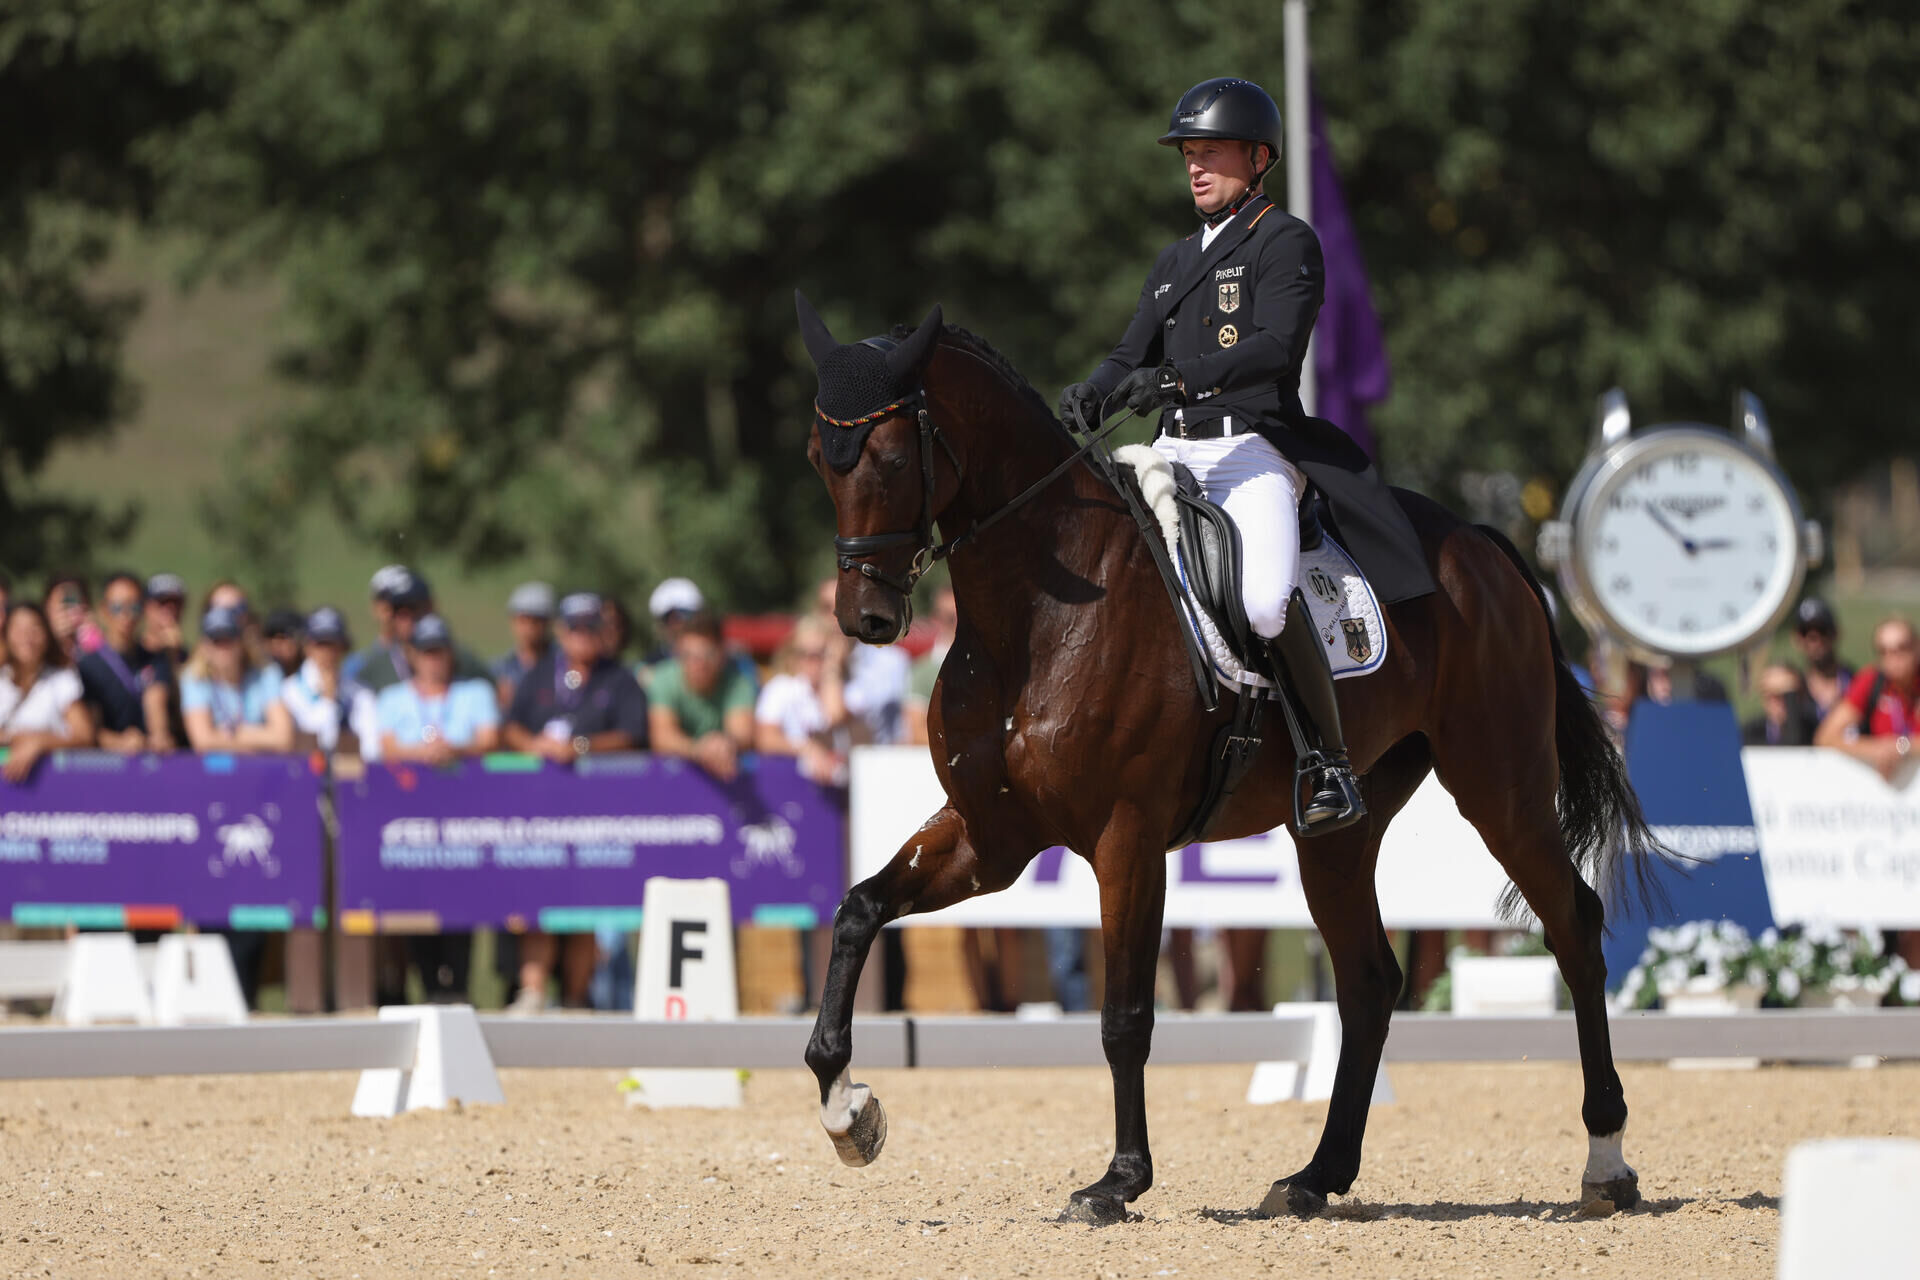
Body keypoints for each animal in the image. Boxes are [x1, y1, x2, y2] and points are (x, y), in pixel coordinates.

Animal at [793, 294, 1662, 1224]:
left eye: (890, 455)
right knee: (1368, 980)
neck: (1031, 621)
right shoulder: (992, 837)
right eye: (819, 459)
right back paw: (1316, 1176)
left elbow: (1125, 1016)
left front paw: (1117, 1182)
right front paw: (849, 1113)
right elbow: (858, 908)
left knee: (1572, 925)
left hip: (1501, 787)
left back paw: (1606, 1162)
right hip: (1340, 832)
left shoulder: (1126, 839)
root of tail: (1480, 543)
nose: (866, 619)